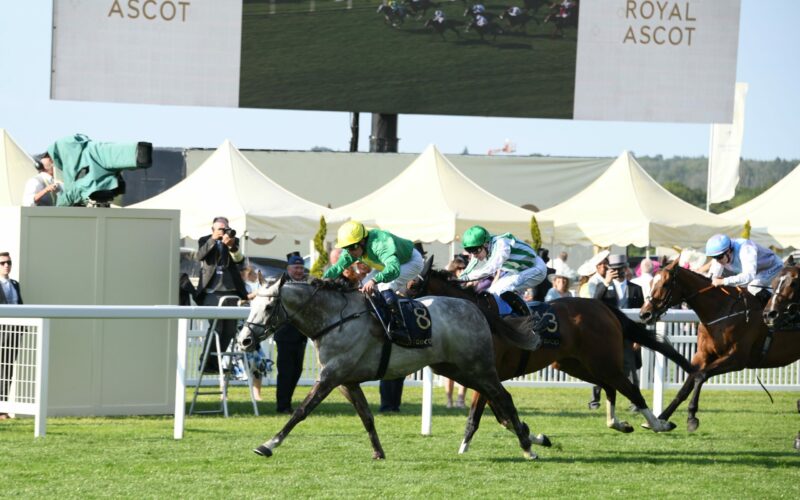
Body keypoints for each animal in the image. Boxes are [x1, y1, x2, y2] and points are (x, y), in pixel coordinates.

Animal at [234, 276, 540, 458]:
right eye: (251, 303)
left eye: (269, 307)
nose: (245, 340)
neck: (334, 319)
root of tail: (476, 308)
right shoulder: (346, 381)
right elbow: (366, 416)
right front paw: (379, 453)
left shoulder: (330, 377)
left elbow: (301, 411)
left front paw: (269, 444)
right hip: (454, 369)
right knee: (494, 398)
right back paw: (531, 435)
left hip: (478, 367)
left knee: (503, 396)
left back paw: (528, 447)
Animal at [406, 264, 688, 452]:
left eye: (412, 286)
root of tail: (603, 306)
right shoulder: (486, 380)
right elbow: (503, 417)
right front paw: (536, 437)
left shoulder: (485, 376)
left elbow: (481, 415)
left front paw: (464, 446)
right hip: (576, 364)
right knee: (610, 387)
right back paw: (618, 423)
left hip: (603, 362)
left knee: (631, 390)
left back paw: (658, 424)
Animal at [640, 260, 800, 432]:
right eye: (651, 283)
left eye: (665, 284)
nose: (644, 314)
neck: (721, 311)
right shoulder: (702, 355)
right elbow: (686, 386)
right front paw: (660, 419)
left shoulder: (736, 359)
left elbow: (701, 376)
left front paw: (691, 417)